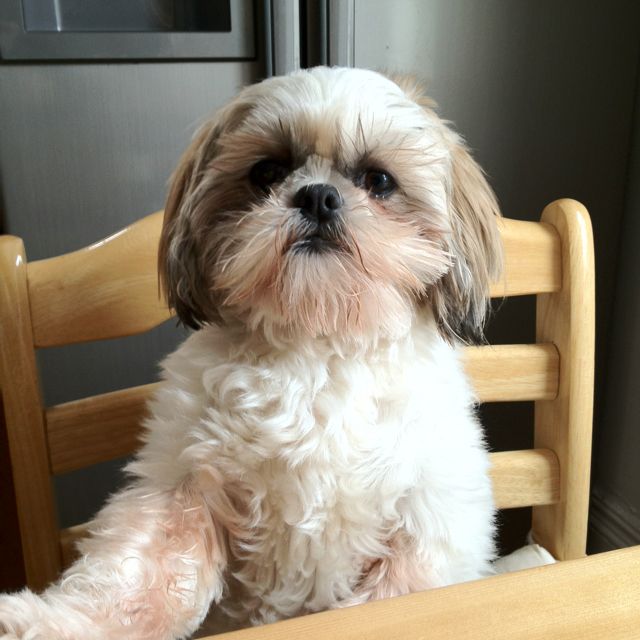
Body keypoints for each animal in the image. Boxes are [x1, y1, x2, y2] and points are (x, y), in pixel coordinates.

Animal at [0, 66, 500, 640]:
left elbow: (400, 594)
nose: (318, 196)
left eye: (378, 181)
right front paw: (52, 622)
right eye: (267, 172)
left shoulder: (432, 521)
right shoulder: (180, 486)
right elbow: (137, 576)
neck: (315, 348)